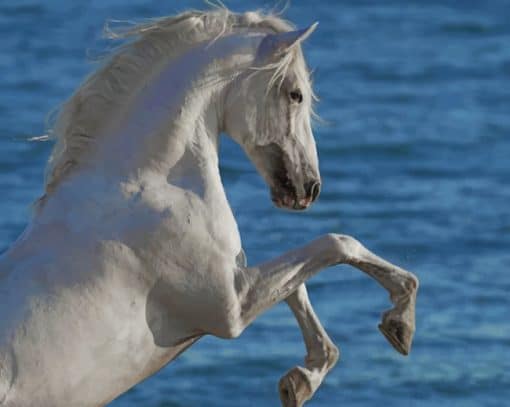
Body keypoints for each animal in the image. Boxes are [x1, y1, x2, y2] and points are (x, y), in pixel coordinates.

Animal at [0, 9, 418, 407]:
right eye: (296, 95)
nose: (310, 188)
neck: (145, 185)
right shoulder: (231, 308)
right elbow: (336, 244)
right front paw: (401, 320)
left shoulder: (236, 281)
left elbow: (298, 282)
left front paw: (302, 379)